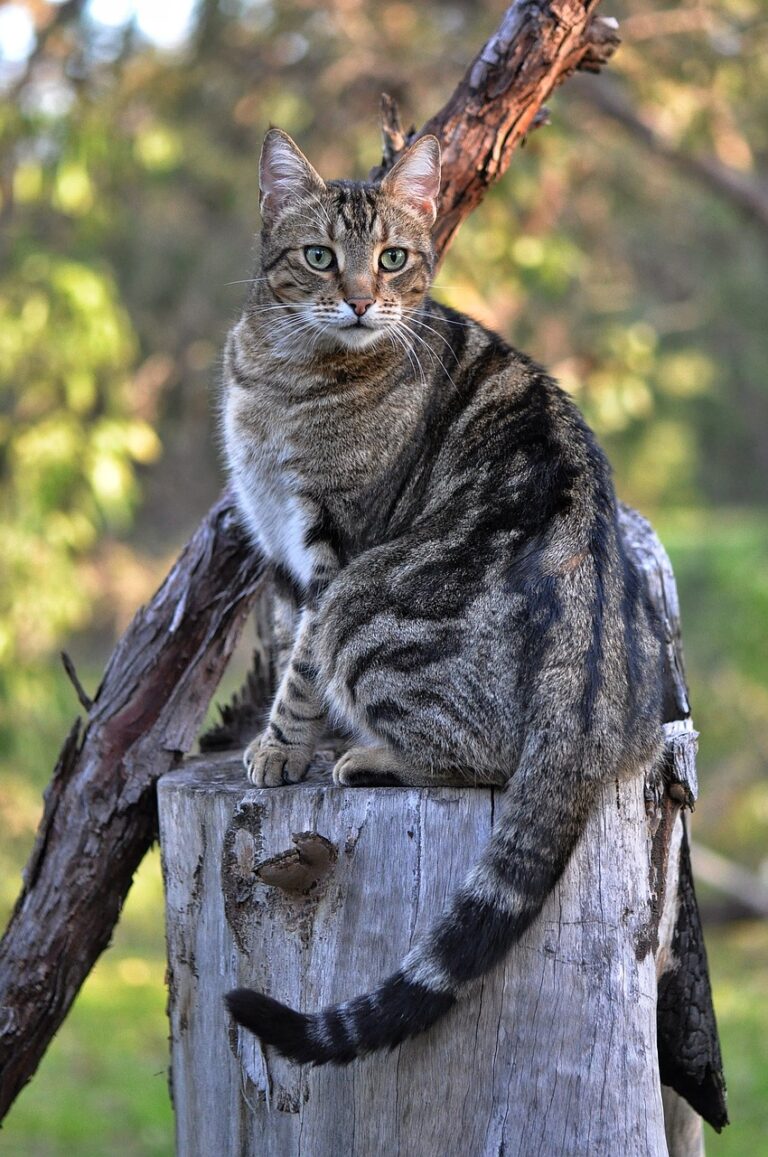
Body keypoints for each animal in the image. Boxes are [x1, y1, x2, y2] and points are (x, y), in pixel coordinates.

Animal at [218, 126, 661, 1064]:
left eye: (394, 259)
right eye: (319, 257)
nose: (359, 302)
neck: (281, 369)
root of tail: (587, 704)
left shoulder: (330, 547)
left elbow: (299, 666)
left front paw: (282, 746)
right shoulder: (278, 545)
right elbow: (287, 641)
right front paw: (291, 737)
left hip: (369, 607)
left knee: (478, 756)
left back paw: (370, 754)